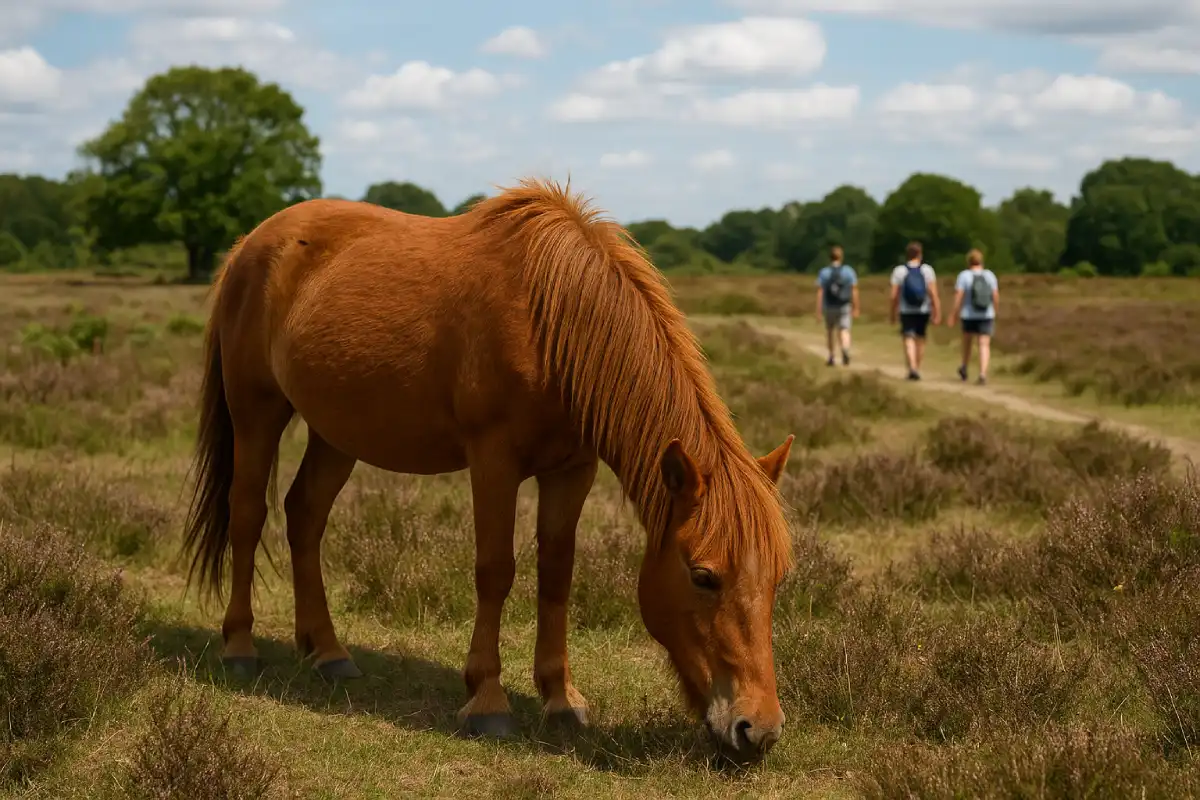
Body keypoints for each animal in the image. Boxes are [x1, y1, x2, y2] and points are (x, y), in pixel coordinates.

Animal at [181, 177, 797, 762]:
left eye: (777, 579)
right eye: (703, 576)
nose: (757, 730)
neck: (551, 325)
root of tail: (250, 243)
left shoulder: (572, 471)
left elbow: (557, 574)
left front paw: (560, 698)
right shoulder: (493, 461)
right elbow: (495, 571)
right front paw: (488, 701)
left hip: (336, 433)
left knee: (304, 516)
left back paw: (327, 652)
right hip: (256, 410)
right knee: (247, 514)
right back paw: (240, 647)